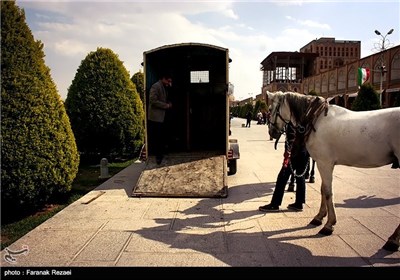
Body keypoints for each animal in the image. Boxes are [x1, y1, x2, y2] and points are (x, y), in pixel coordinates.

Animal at [266, 90, 400, 252]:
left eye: (270, 109)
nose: (271, 132)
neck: (315, 119)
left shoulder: (324, 162)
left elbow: (328, 192)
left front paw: (329, 224)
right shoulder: (323, 163)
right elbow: (323, 189)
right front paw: (319, 217)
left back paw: (393, 240)